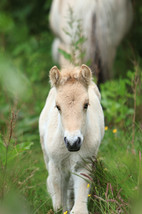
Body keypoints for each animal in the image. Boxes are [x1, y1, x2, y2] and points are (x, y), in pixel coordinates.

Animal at [38, 64, 104, 213]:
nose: (73, 142)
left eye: (86, 104)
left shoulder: (84, 164)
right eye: (58, 107)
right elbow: (59, 205)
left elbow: (78, 208)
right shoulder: (56, 166)